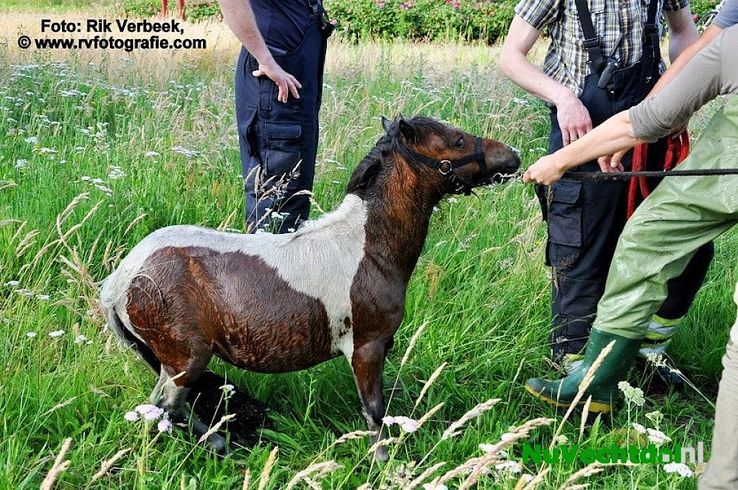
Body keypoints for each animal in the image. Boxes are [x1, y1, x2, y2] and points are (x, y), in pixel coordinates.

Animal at [100, 115, 520, 459]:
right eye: (457, 140)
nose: (513, 157)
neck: (366, 246)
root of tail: (120, 280)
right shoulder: (366, 347)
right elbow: (374, 412)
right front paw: (385, 462)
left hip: (172, 363)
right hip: (186, 360)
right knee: (168, 407)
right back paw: (218, 445)